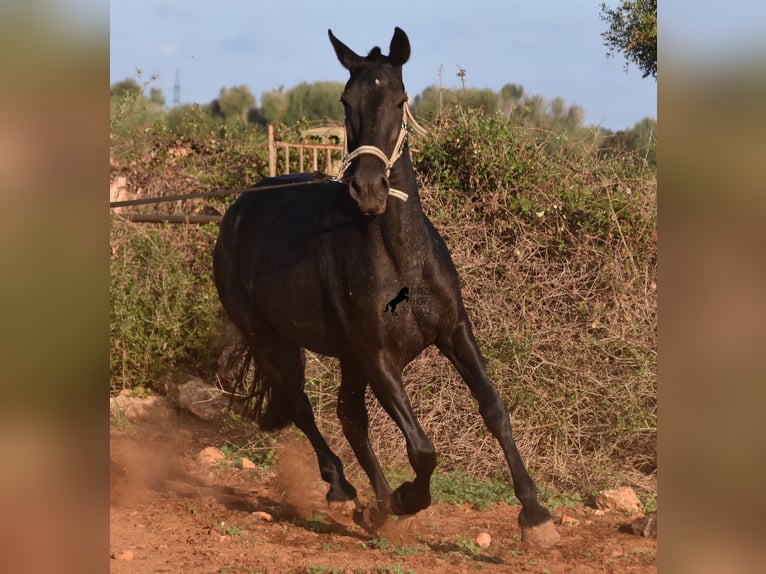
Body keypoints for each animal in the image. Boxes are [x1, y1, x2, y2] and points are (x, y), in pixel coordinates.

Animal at [213, 27, 560, 548]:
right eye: (346, 99)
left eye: (400, 99)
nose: (370, 188)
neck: (402, 261)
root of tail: (237, 209)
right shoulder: (378, 356)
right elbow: (422, 450)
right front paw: (406, 498)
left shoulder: (453, 332)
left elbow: (493, 408)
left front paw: (535, 515)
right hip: (271, 340)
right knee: (302, 404)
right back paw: (347, 492)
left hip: (341, 355)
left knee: (348, 416)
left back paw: (372, 507)